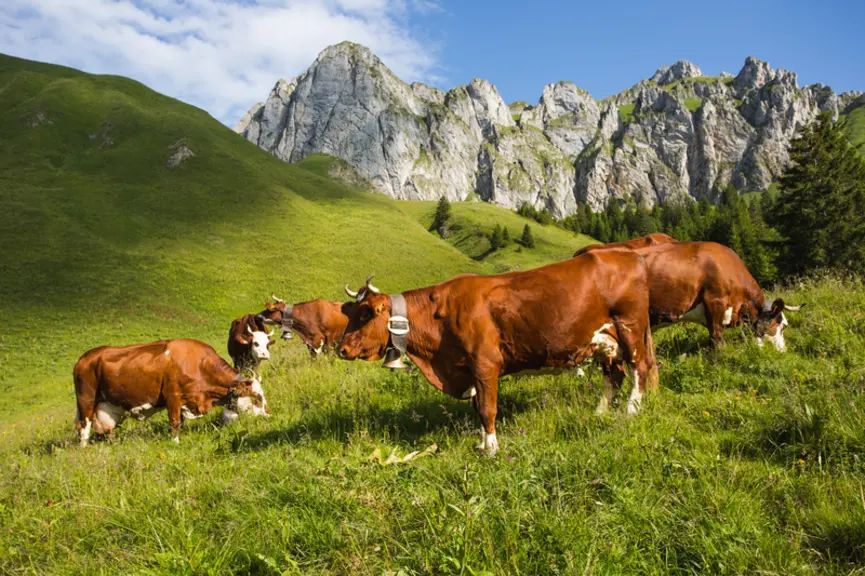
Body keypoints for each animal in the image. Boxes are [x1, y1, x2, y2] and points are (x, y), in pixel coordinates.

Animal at [73, 339, 268, 446]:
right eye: (257, 399)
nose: (268, 416)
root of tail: (84, 358)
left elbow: (180, 422)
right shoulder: (173, 397)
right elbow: (174, 422)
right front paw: (175, 442)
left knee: (107, 428)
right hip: (86, 400)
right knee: (83, 427)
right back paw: (84, 448)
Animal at [337, 253, 658, 456]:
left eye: (365, 314)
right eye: (351, 313)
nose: (342, 348)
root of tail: (628, 256)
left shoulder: (485, 365)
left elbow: (486, 409)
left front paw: (491, 449)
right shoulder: (468, 369)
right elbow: (477, 407)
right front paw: (481, 444)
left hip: (629, 326)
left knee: (639, 367)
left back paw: (630, 410)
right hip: (605, 340)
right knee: (614, 374)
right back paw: (601, 412)